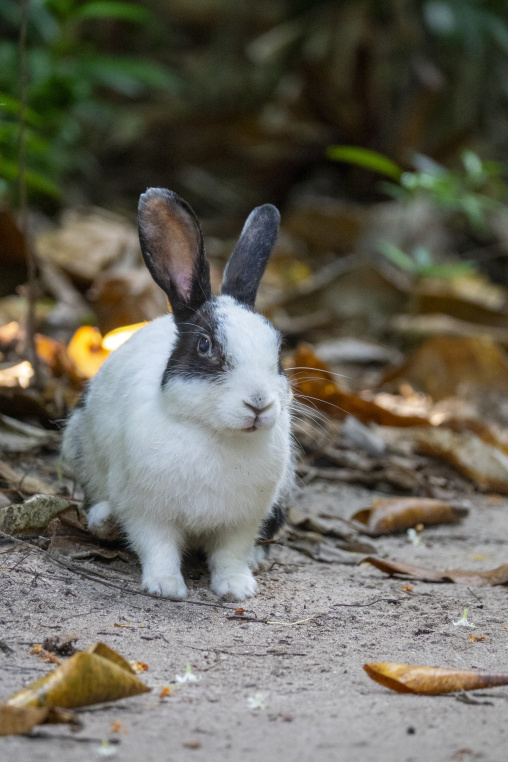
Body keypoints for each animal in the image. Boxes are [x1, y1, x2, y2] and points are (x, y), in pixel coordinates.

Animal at [62, 188, 294, 601]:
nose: (259, 403)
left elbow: (230, 554)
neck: (214, 434)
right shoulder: (148, 513)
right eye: (205, 346)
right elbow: (159, 549)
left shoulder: (243, 521)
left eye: (278, 348)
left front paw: (237, 588)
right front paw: (166, 587)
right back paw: (104, 519)